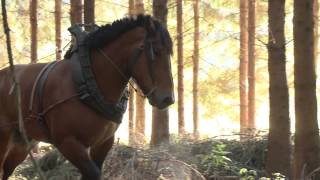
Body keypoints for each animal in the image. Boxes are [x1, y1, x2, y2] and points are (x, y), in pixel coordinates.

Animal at [0, 14, 174, 179]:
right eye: (156, 51)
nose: (168, 98)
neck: (89, 81)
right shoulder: (68, 142)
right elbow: (93, 173)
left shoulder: (103, 143)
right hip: (4, 137)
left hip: (22, 143)